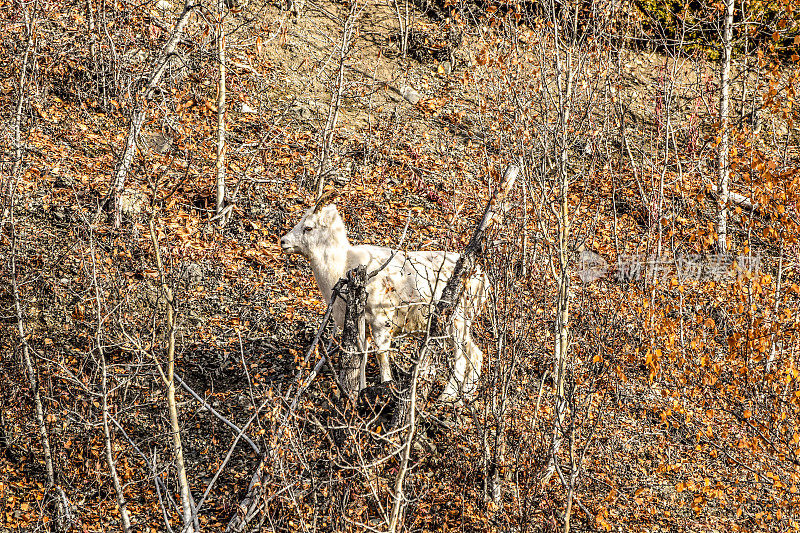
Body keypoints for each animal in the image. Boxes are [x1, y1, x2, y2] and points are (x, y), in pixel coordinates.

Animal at [282, 195, 488, 400]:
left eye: (308, 227)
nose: (283, 241)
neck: (343, 265)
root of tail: (482, 278)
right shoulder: (362, 326)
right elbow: (363, 357)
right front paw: (360, 391)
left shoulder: (381, 322)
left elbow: (381, 354)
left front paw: (385, 387)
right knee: (475, 355)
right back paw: (464, 398)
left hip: (456, 322)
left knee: (464, 358)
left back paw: (446, 398)